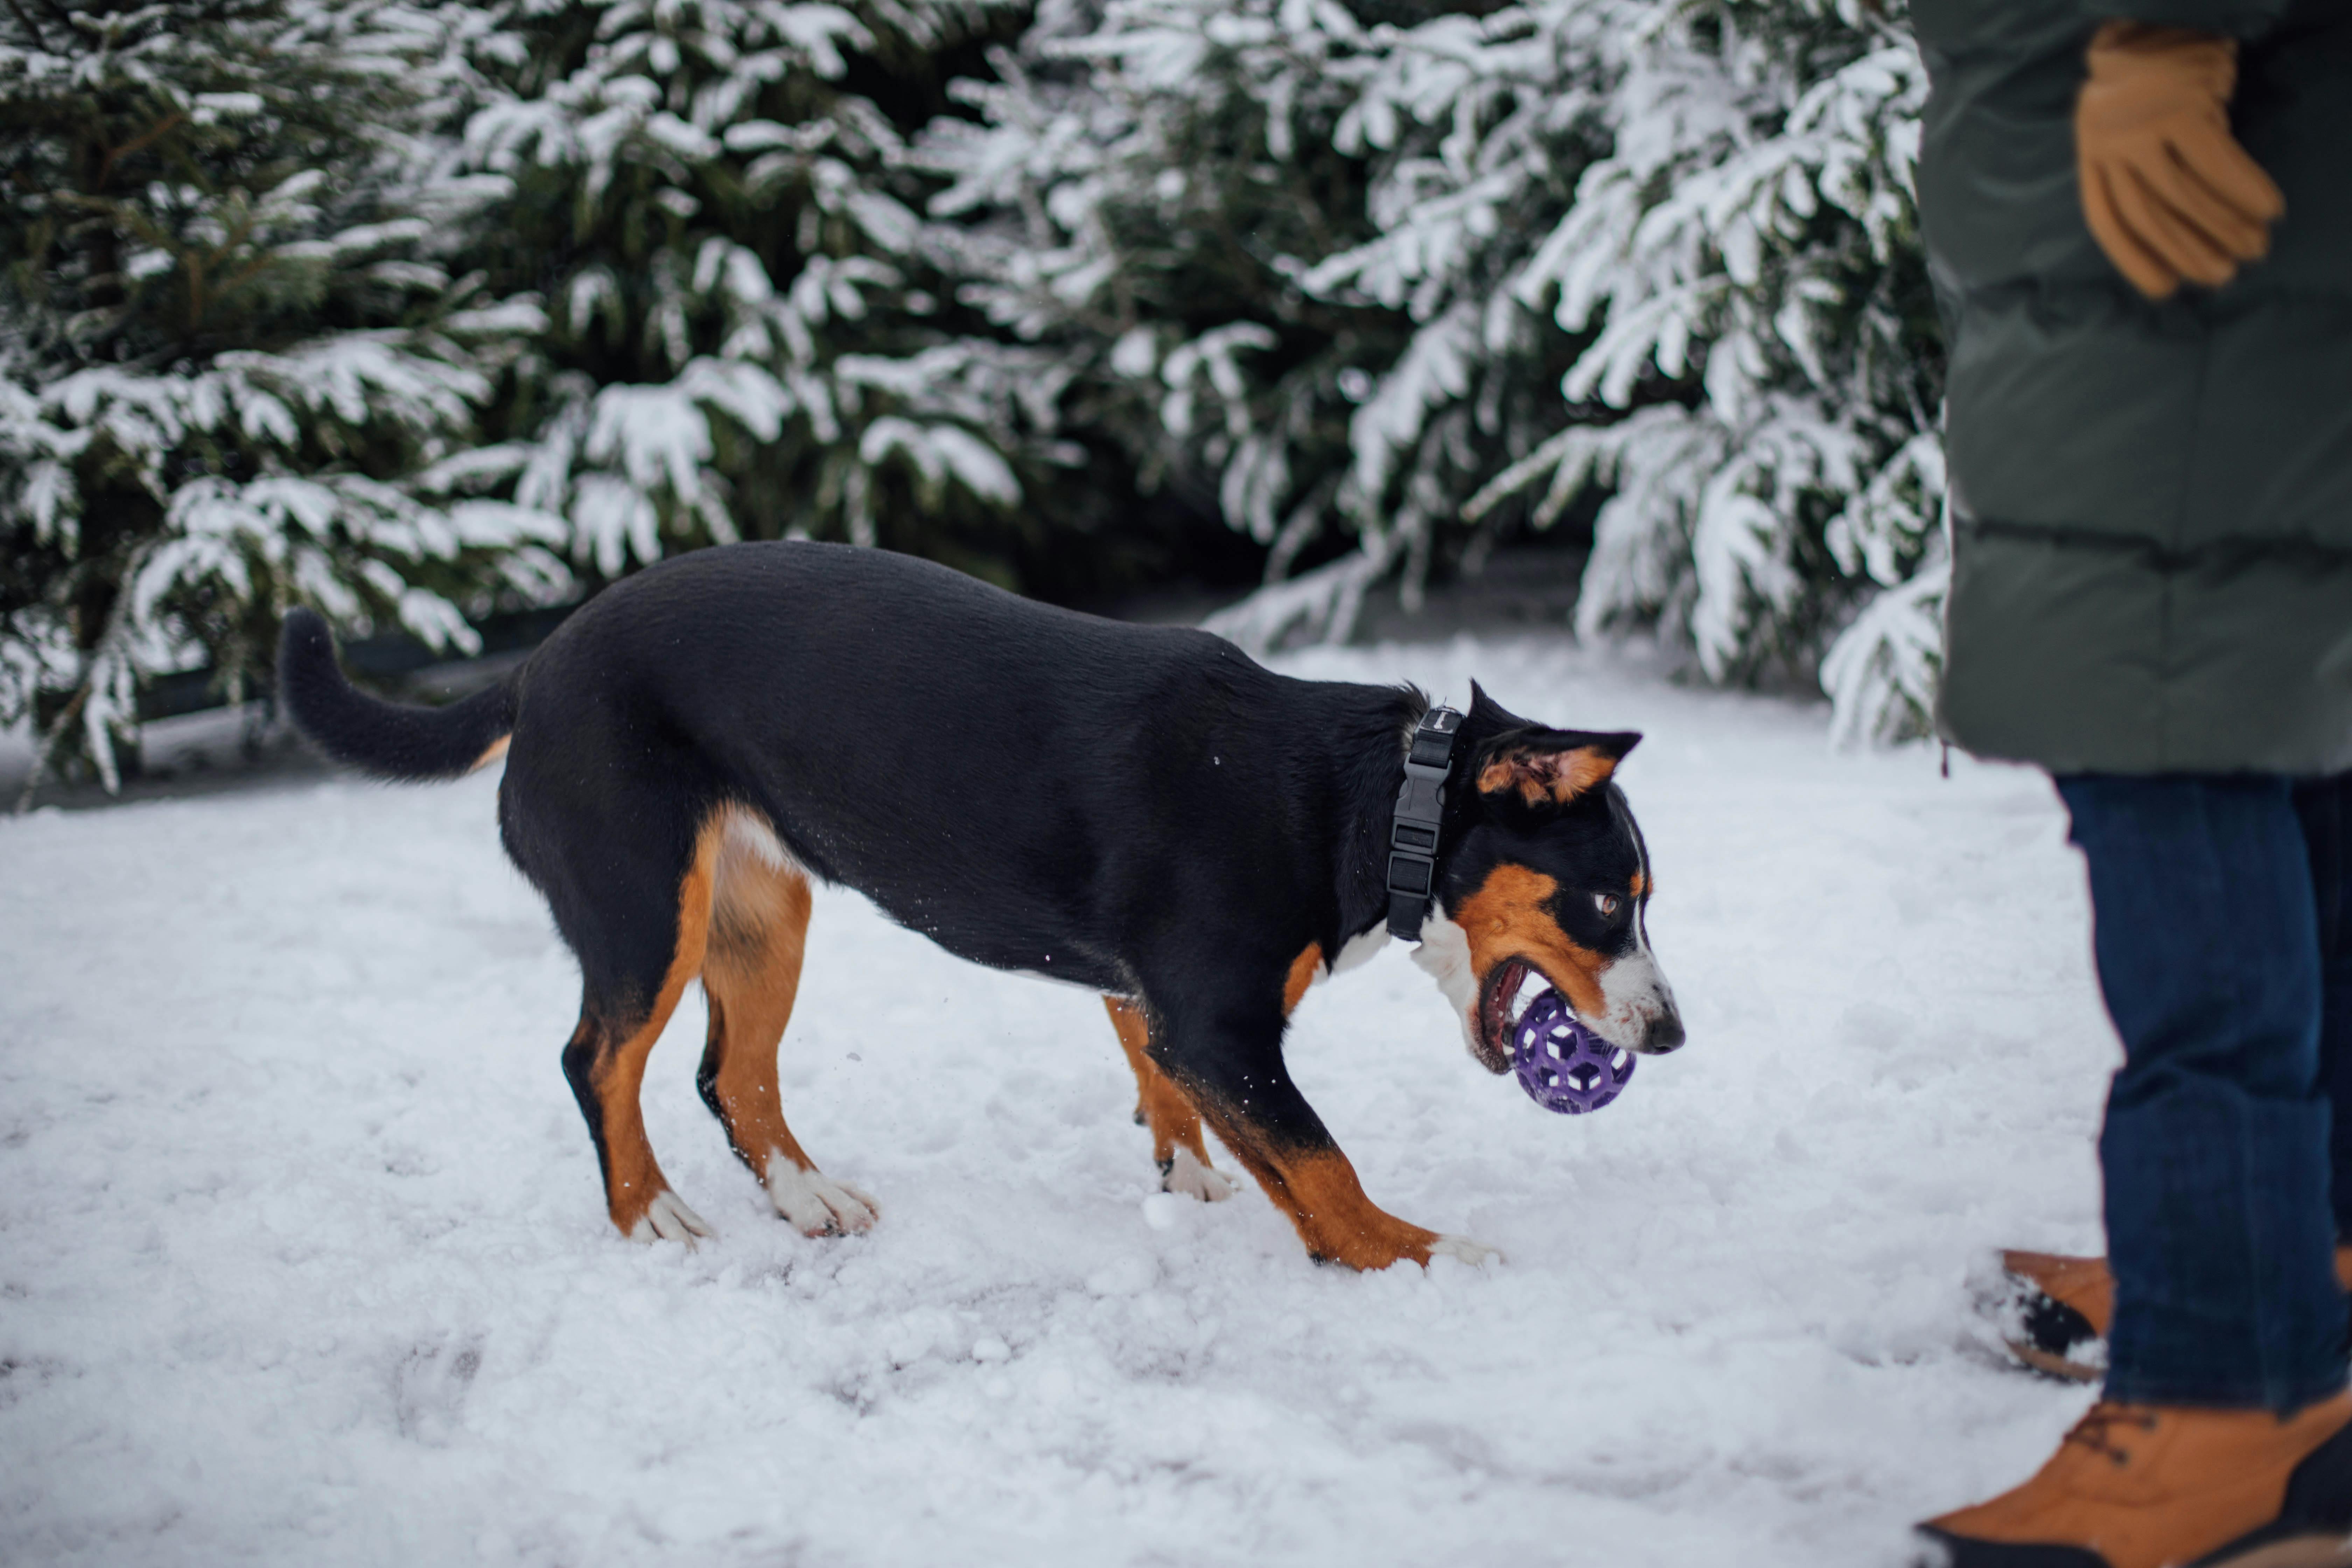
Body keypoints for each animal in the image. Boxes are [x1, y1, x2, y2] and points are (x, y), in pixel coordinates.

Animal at [285, 545, 1684, 1269]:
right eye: (1603, 898)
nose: (1669, 1033)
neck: (1367, 797)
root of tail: (539, 660)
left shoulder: (1153, 1000)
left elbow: (1186, 1103)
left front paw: (1188, 1175)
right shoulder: (1220, 1021)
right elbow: (1319, 1160)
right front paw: (1412, 1252)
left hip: (759, 915)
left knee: (730, 1076)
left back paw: (807, 1199)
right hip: (643, 908)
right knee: (597, 1060)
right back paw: (651, 1214)